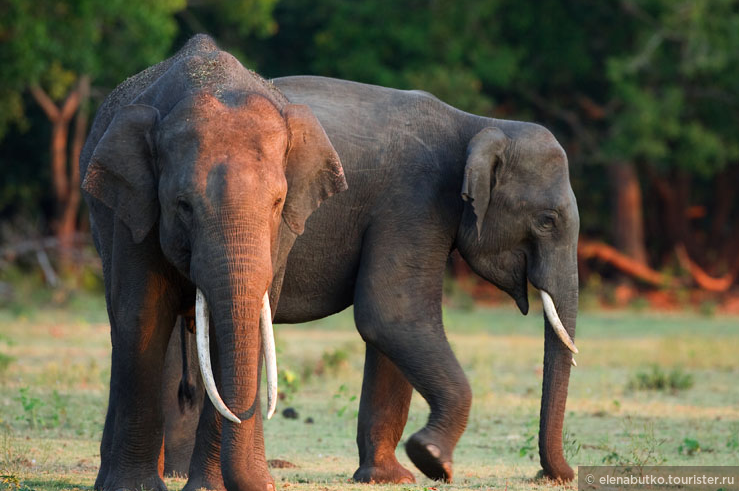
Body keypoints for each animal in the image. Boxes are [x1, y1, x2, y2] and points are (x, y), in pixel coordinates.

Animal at [79, 36, 346, 491]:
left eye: (277, 204)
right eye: (183, 206)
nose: (267, 486)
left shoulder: (281, 237)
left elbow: (247, 324)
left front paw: (209, 487)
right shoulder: (133, 210)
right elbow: (142, 317)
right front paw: (134, 488)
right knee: (121, 326)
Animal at [165, 74, 580, 484]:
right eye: (547, 221)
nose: (555, 476)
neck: (475, 125)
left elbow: (390, 332)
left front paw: (388, 477)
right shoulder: (415, 200)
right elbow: (392, 316)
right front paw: (432, 459)